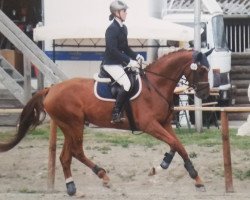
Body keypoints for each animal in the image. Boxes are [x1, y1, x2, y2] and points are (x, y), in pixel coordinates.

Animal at [0, 49, 212, 195]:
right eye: (202, 70)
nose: (204, 94)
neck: (155, 86)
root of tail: (51, 88)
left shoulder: (165, 124)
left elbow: (176, 145)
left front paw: (162, 166)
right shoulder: (150, 126)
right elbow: (176, 144)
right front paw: (196, 177)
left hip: (71, 126)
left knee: (66, 156)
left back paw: (72, 186)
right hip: (73, 125)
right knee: (76, 152)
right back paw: (101, 175)